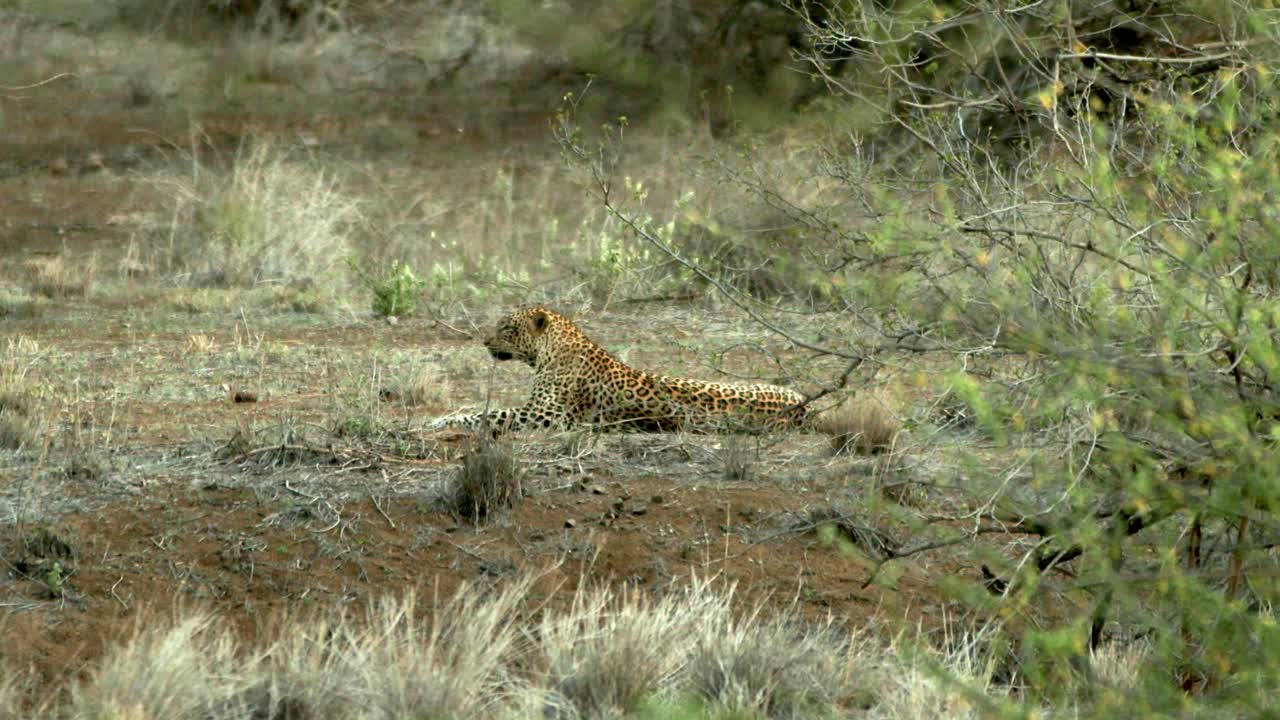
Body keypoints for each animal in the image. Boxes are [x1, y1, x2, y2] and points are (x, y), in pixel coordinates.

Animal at [428, 306, 813, 434]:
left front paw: (438, 422)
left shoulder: (546, 415)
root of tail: (804, 407)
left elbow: (486, 414)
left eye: (507, 327)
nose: (484, 341)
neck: (551, 351)